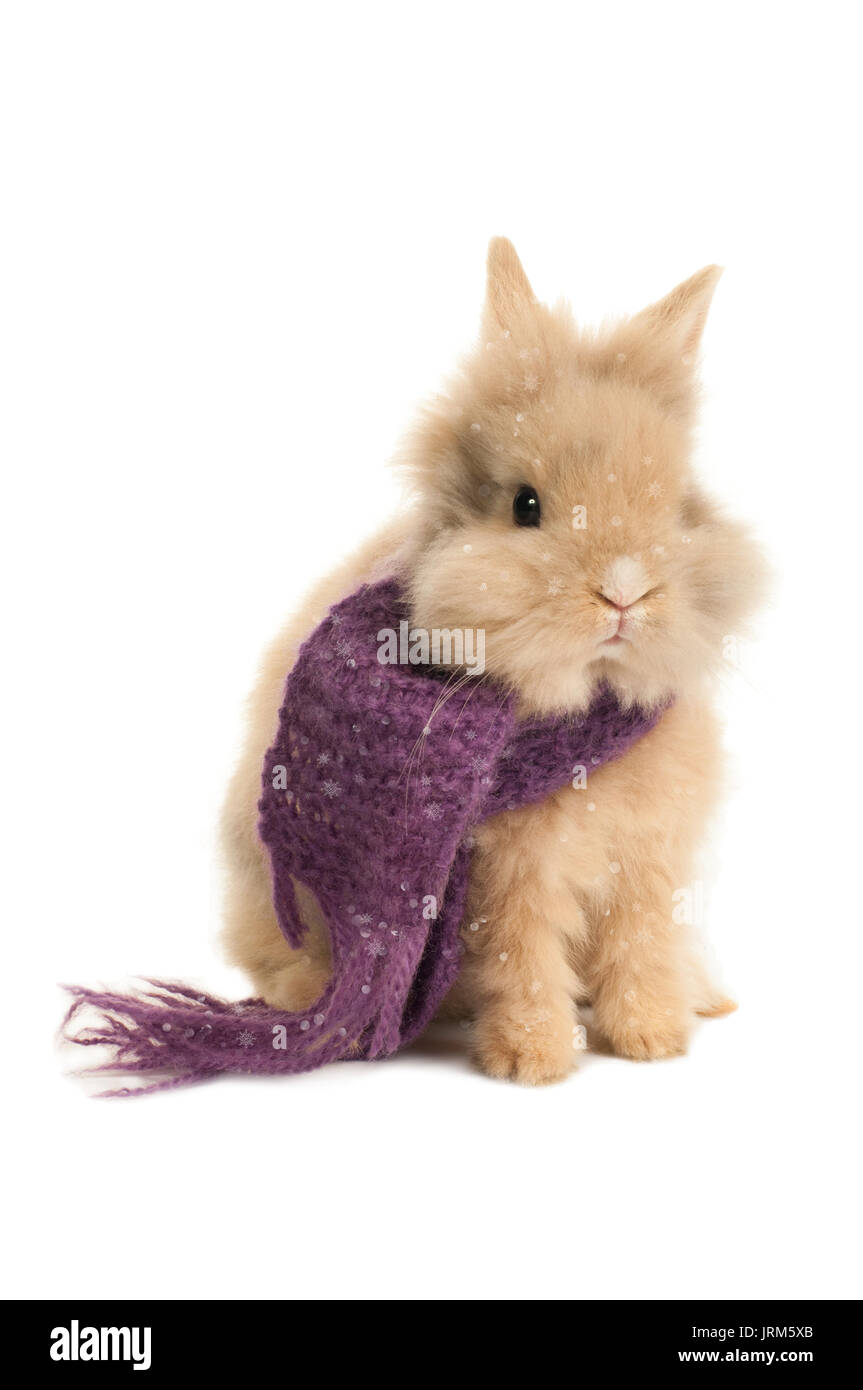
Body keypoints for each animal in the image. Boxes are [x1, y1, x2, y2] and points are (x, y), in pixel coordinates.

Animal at [220, 238, 766, 1085]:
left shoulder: (647, 864)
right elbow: (523, 962)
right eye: (525, 506)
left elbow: (639, 944)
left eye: (677, 506)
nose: (624, 592)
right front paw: (531, 1059)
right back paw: (307, 997)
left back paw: (704, 998)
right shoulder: (506, 882)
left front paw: (650, 1040)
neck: (579, 717)